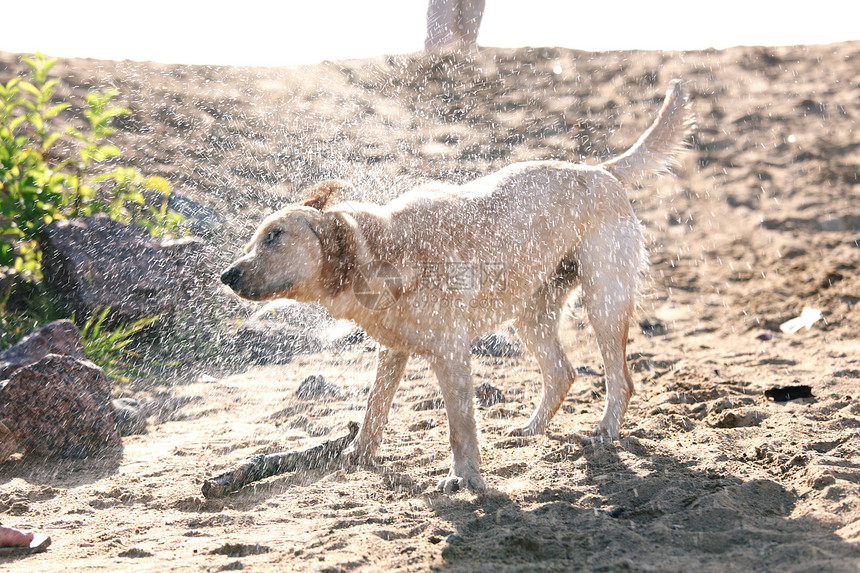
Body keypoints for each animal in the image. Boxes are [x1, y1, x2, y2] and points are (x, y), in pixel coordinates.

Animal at [222, 80, 692, 492]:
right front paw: (358, 454)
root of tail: (597, 169)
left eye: (274, 236)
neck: (384, 250)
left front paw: (464, 478)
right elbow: (375, 406)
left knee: (619, 379)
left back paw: (604, 431)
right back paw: (531, 429)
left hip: (603, 301)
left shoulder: (450, 352)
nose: (226, 275)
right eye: (252, 241)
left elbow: (459, 425)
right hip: (531, 315)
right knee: (562, 372)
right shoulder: (392, 350)